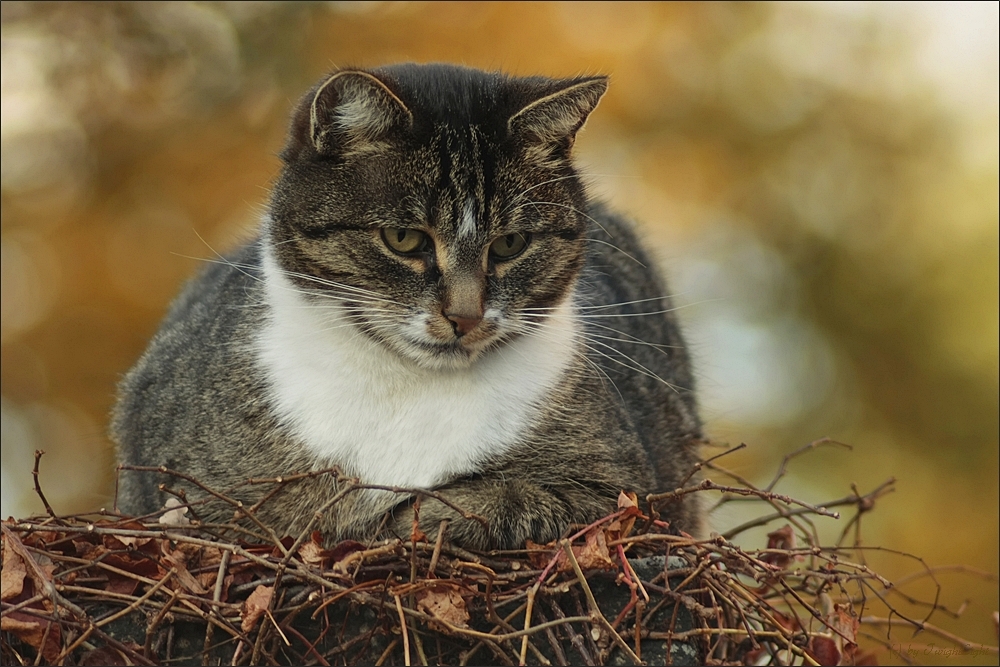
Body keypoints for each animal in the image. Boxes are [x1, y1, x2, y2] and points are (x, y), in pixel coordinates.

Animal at [111, 64, 704, 552]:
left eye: (510, 244)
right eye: (404, 239)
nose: (465, 316)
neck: (408, 389)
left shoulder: (626, 494)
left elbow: (492, 499)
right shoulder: (177, 492)